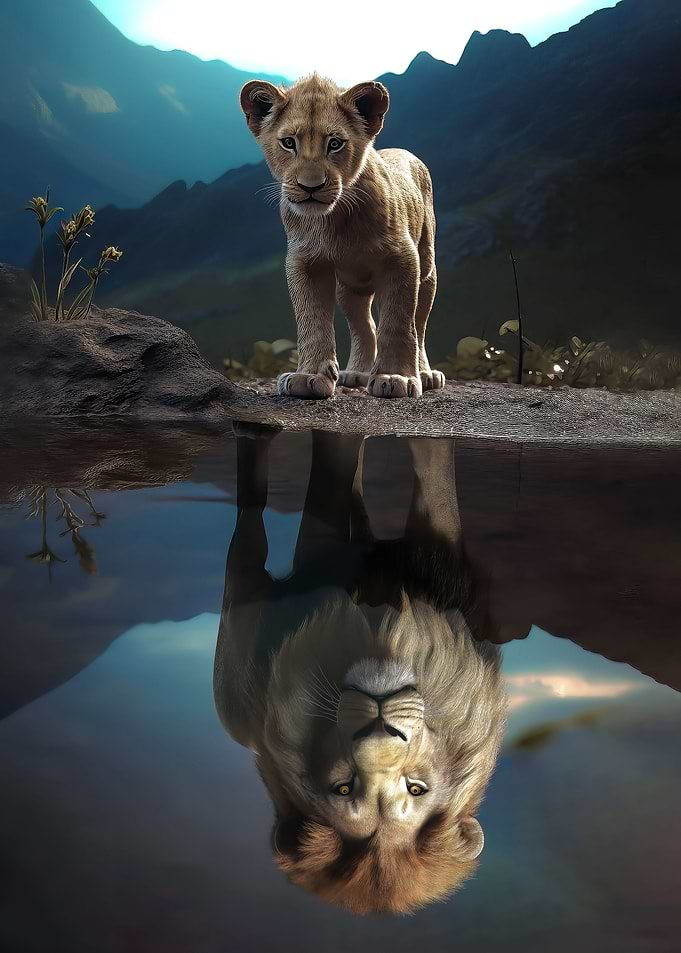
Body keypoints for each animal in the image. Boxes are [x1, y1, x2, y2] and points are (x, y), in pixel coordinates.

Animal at [213, 429, 507, 915]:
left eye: (416, 789)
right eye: (344, 789)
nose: (381, 731)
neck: (385, 636)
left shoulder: (444, 565)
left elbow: (434, 473)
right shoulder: (322, 557)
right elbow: (334, 465)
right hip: (236, 639)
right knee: (248, 528)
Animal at [239, 73, 444, 400]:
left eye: (335, 143)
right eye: (288, 143)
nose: (310, 186)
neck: (335, 220)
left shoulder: (402, 258)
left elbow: (399, 322)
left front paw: (396, 377)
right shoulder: (305, 262)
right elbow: (311, 320)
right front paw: (308, 377)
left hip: (427, 269)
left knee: (419, 322)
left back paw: (425, 374)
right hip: (350, 288)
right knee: (364, 324)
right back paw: (357, 373)